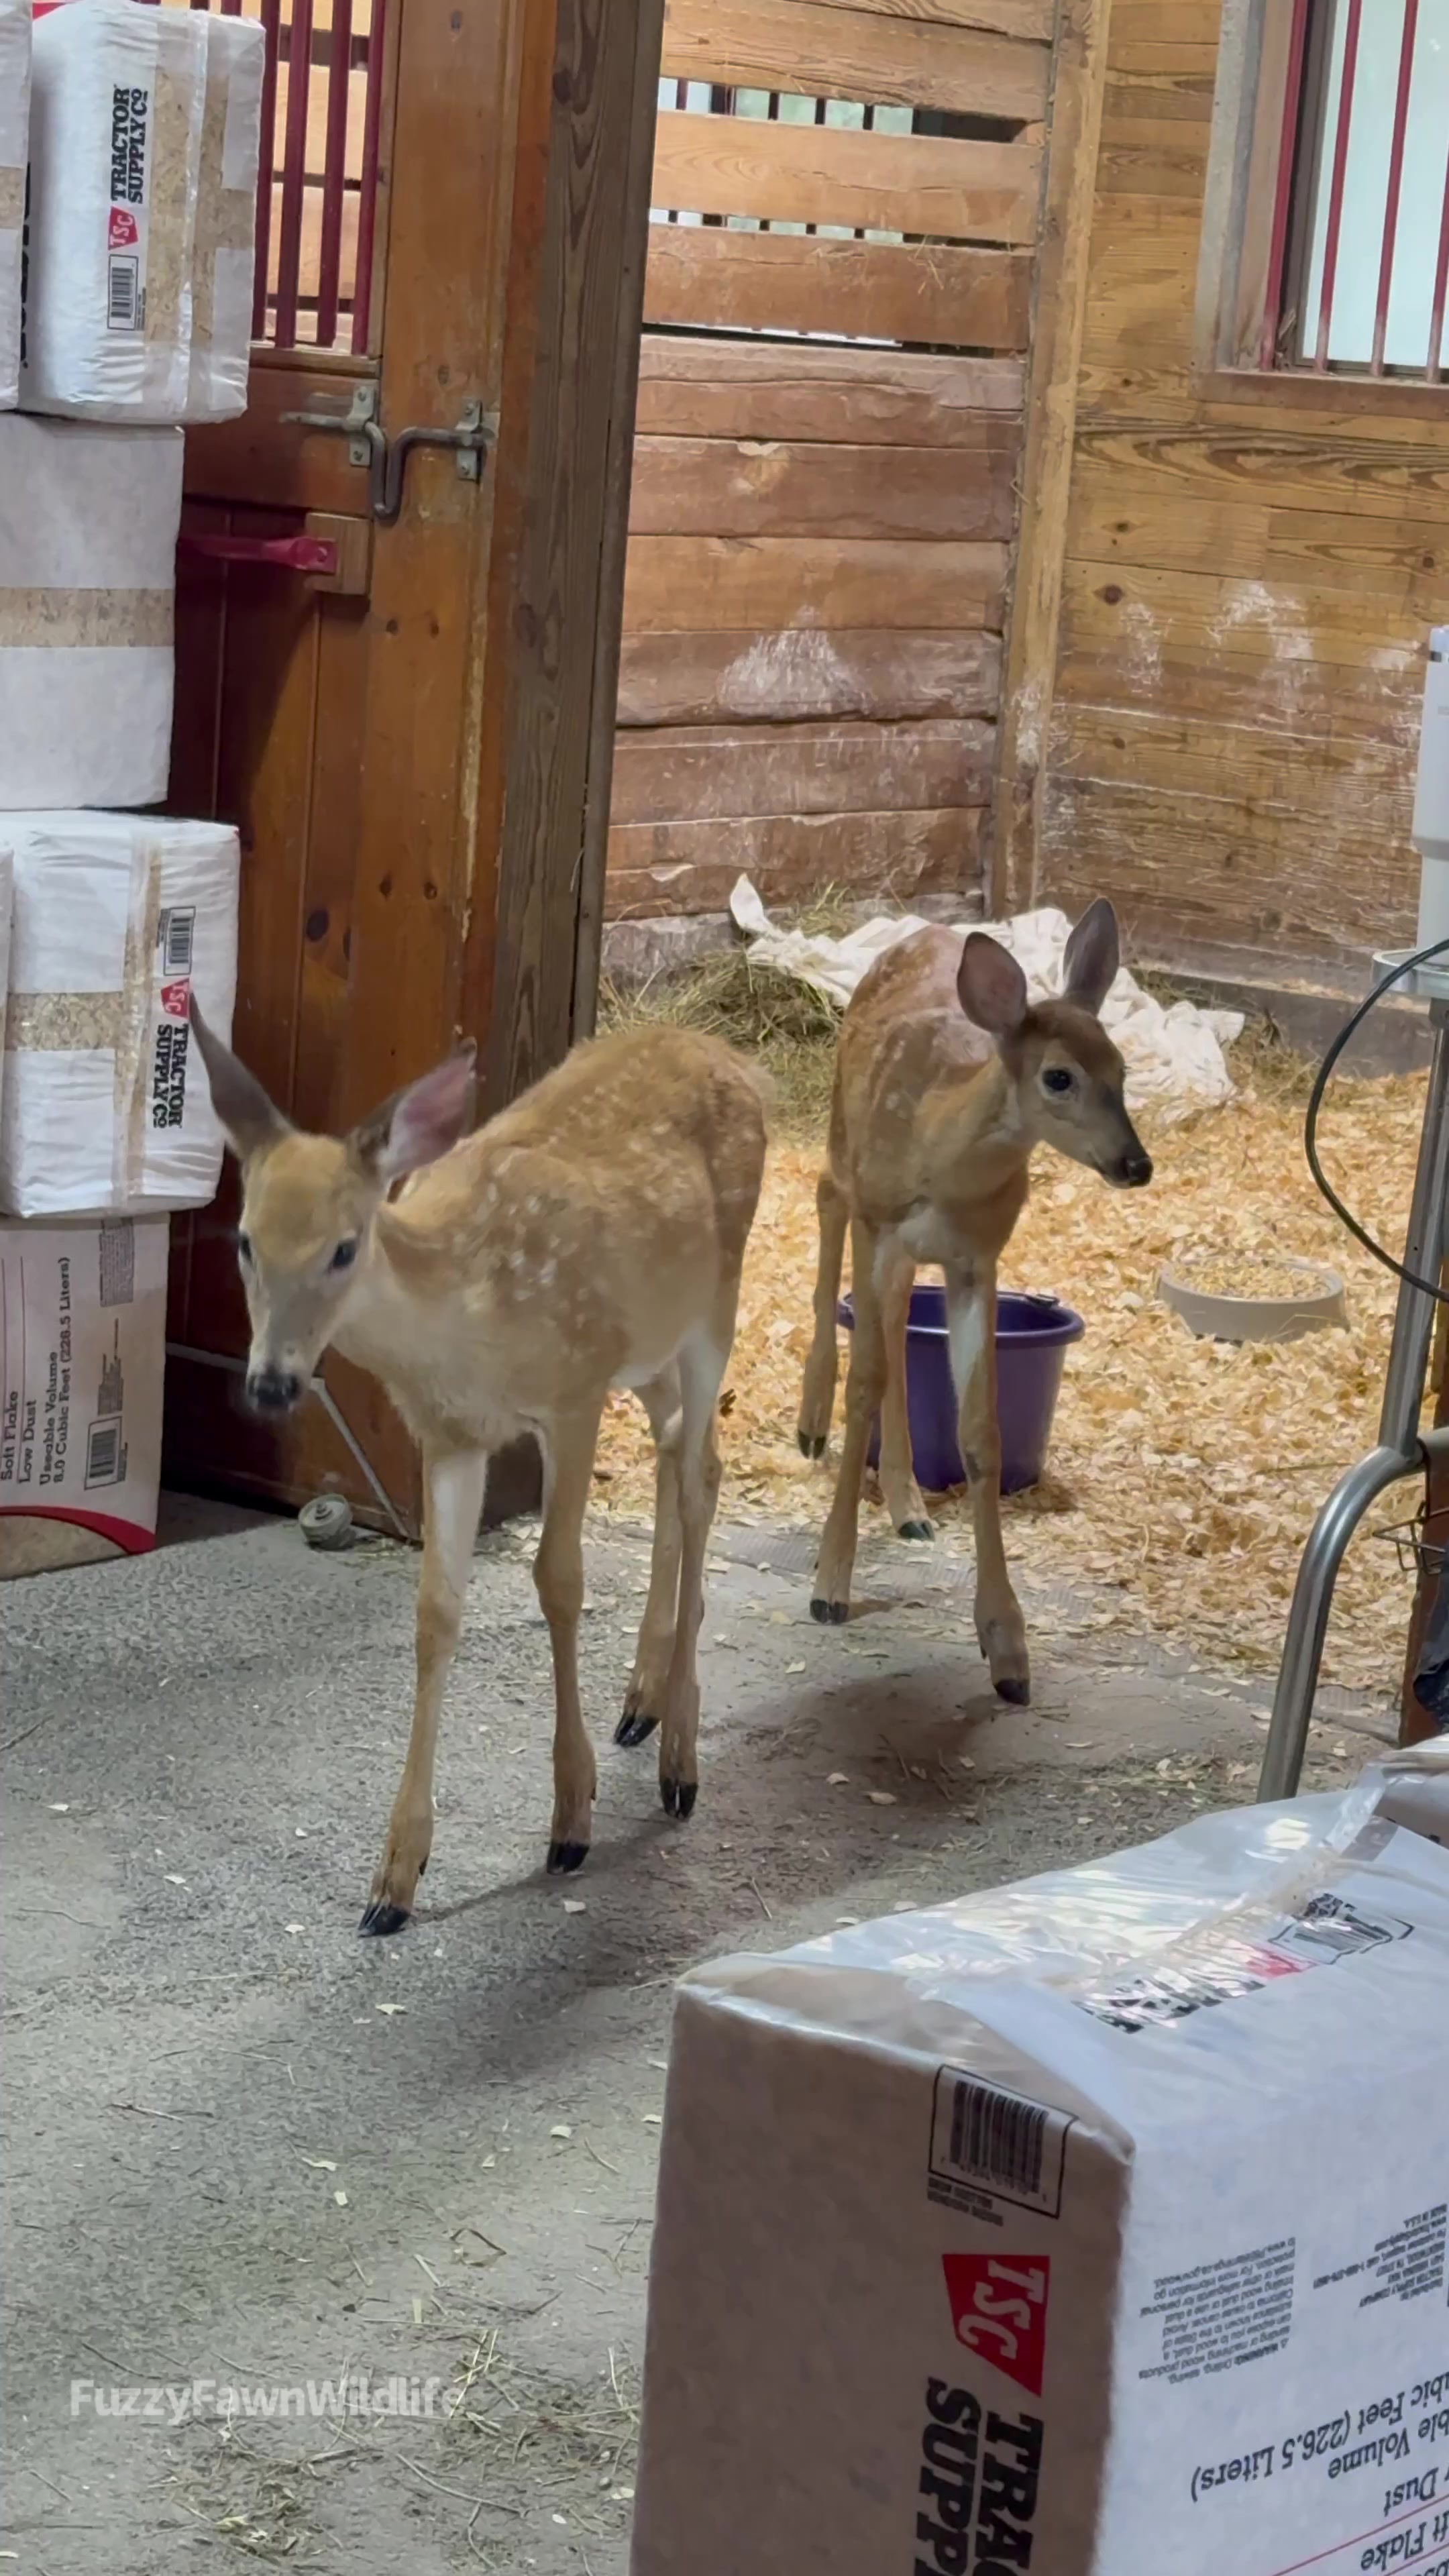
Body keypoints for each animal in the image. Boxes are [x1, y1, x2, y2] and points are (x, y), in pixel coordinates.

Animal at [190, 1010, 767, 1936]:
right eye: (245, 1240)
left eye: (344, 1248)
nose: (272, 1384)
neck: (466, 1315)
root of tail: (731, 1056)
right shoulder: (452, 1435)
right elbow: (435, 1615)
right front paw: (395, 1878)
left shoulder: (572, 1394)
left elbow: (559, 1582)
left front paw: (571, 1819)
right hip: (650, 1345)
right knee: (679, 1448)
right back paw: (640, 1704)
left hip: (716, 1299)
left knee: (700, 1473)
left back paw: (680, 1757)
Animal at [795, 898, 1151, 1705]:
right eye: (1059, 1077)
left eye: (1122, 1070)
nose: (1136, 1164)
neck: (942, 1156)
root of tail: (924, 930)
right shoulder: (880, 1222)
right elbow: (864, 1385)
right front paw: (830, 1585)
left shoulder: (976, 1262)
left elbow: (981, 1430)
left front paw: (1007, 1646)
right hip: (844, 1138)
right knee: (826, 1198)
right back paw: (810, 1421)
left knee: (897, 1320)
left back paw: (909, 1507)